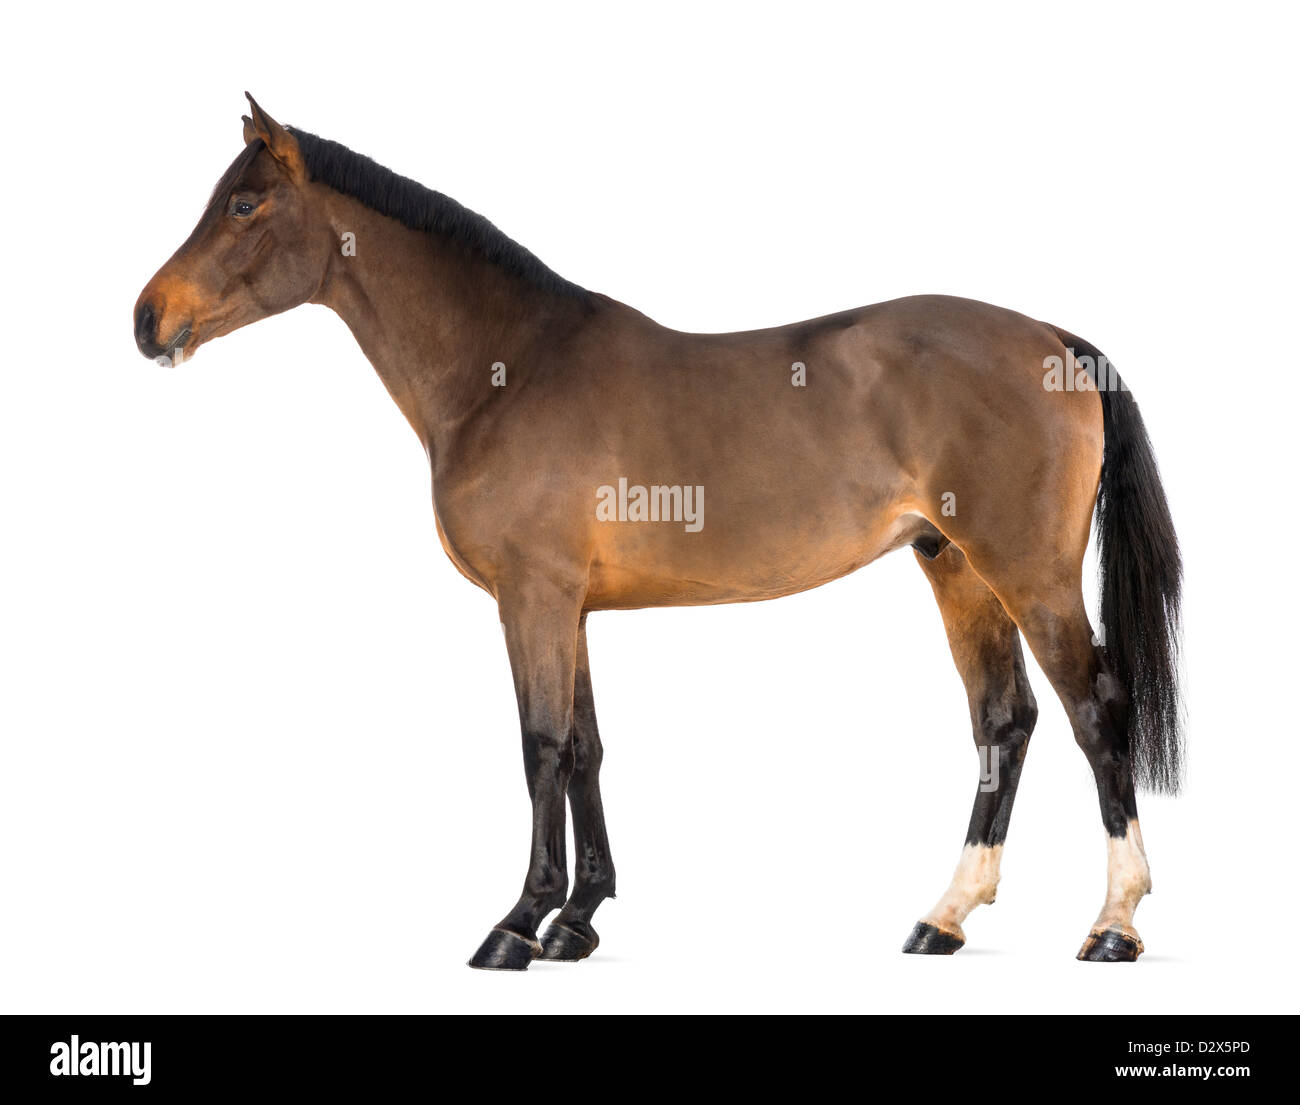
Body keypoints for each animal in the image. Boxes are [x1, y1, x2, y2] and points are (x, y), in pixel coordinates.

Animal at [131, 94, 1180, 967]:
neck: (508, 368)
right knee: (1004, 722)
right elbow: (586, 747)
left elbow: (540, 746)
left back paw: (1113, 924)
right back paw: (943, 917)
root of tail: (1052, 339)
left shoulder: (532, 597)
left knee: (1096, 711)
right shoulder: (573, 607)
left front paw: (518, 923)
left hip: (1029, 573)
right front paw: (578, 920)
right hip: (955, 567)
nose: (148, 319)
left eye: (243, 205)